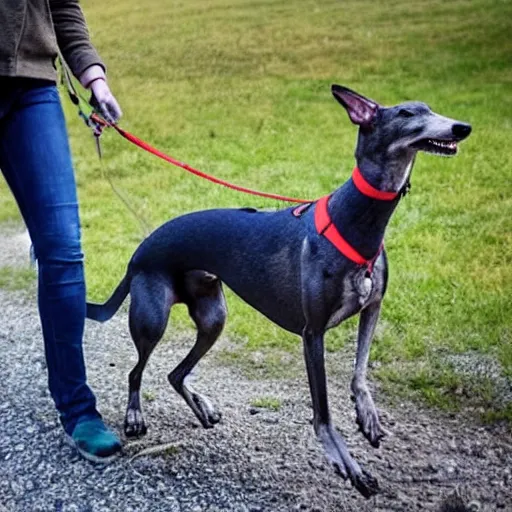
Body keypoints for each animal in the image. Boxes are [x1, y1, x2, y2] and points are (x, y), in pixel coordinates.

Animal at [87, 86, 472, 498]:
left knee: (176, 374)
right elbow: (323, 413)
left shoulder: (373, 307)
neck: (356, 218)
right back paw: (134, 416)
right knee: (136, 371)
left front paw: (366, 416)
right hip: (152, 318)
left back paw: (202, 408)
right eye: (406, 114)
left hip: (213, 318)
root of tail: (139, 252)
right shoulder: (312, 333)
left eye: (429, 108)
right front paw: (348, 465)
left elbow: (360, 371)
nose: (463, 127)